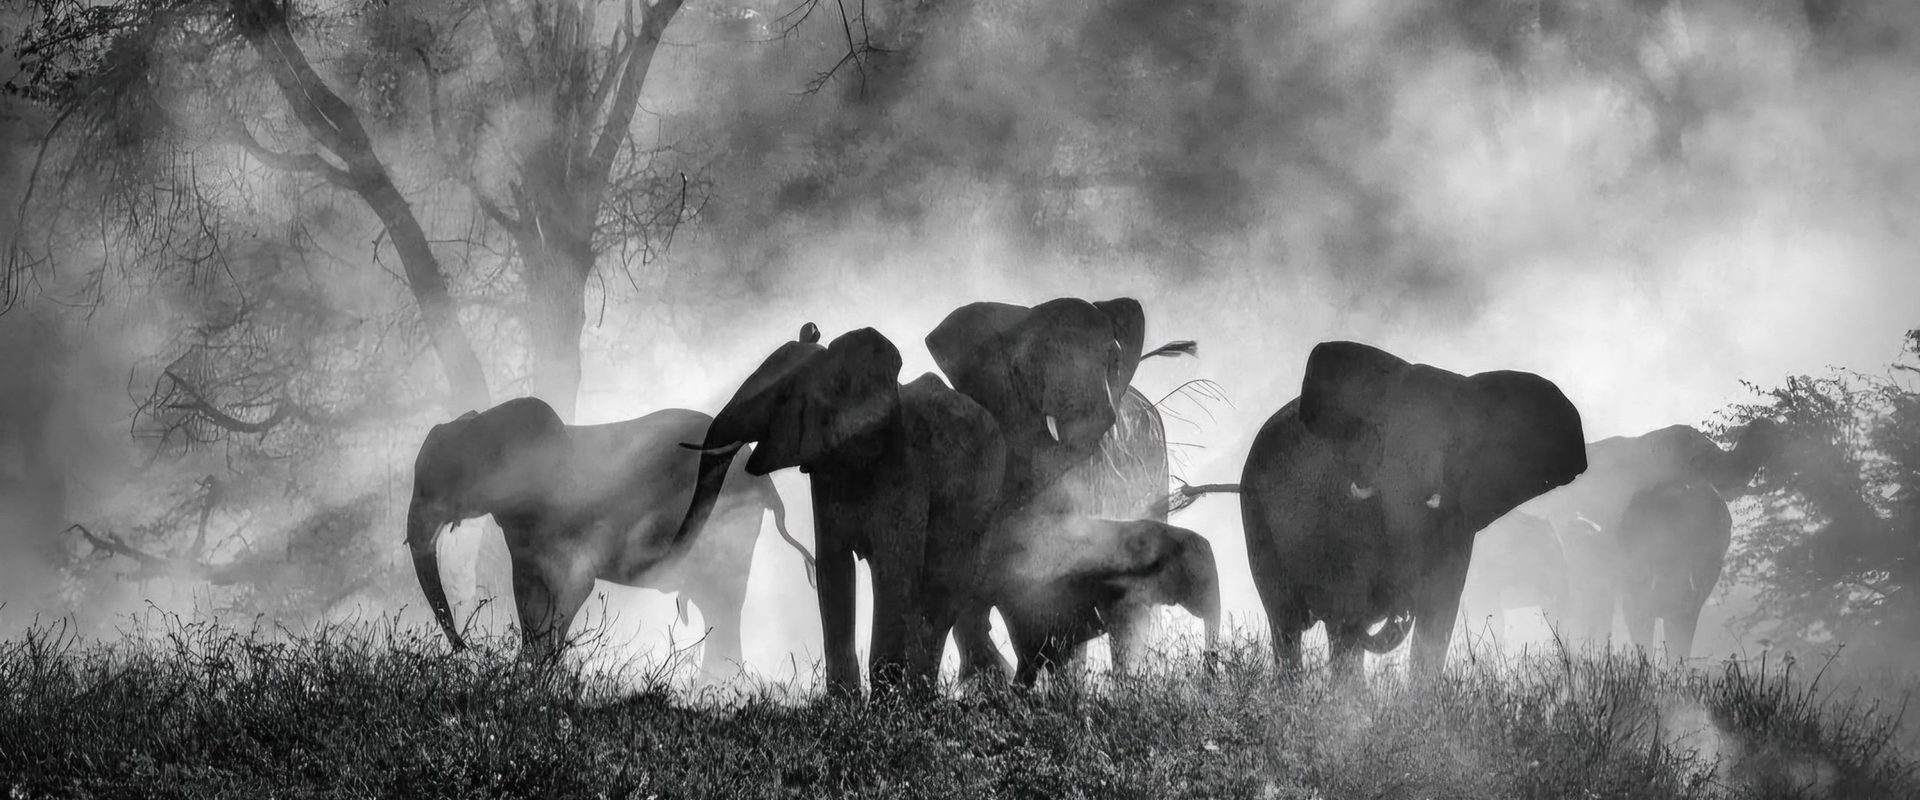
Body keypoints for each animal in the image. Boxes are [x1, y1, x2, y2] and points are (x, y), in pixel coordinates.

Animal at [405, 398, 817, 672]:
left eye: (444, 480)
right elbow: (528, 596)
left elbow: (574, 587)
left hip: (727, 524)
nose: (465, 647)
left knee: (723, 603)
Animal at [673, 323, 1007, 696]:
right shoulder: (825, 469)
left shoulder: (907, 466)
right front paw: (843, 701)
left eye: (784, 397)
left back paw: (921, 697)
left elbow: (893, 567)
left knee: (942, 591)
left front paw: (884, 703)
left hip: (981, 503)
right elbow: (832, 567)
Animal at [989, 514, 1222, 685]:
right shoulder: (1116, 589)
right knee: (1035, 658)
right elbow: (1125, 635)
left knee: (1046, 661)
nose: (1207, 676)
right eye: (1198, 580)